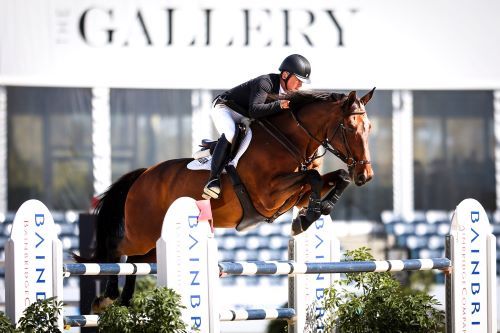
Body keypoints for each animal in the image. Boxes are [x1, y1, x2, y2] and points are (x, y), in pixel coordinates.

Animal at [75, 87, 376, 310]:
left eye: (370, 128)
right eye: (350, 127)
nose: (366, 175)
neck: (288, 141)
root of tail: (143, 175)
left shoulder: (294, 195)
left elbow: (335, 178)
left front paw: (311, 214)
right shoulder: (267, 195)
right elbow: (312, 178)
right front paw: (305, 219)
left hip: (152, 239)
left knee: (138, 261)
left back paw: (124, 299)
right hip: (141, 231)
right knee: (118, 249)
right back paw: (108, 296)